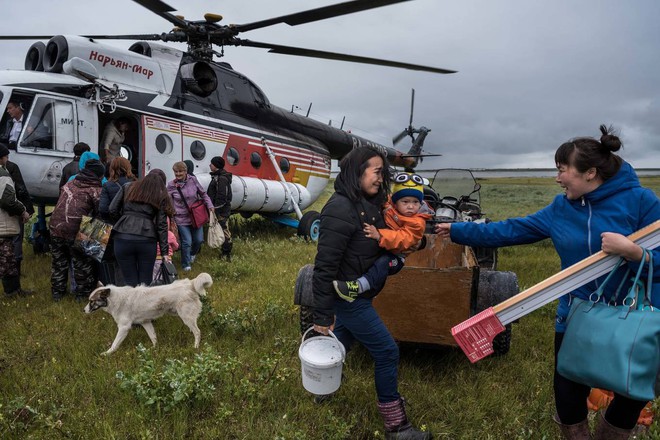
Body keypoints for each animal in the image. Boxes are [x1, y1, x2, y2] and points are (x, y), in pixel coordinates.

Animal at [82, 272, 211, 354]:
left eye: (91, 301)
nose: (83, 310)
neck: (115, 299)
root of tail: (189, 283)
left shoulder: (124, 327)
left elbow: (114, 344)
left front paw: (107, 353)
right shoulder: (146, 323)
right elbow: (153, 337)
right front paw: (155, 349)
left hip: (186, 317)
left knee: (197, 332)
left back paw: (195, 347)